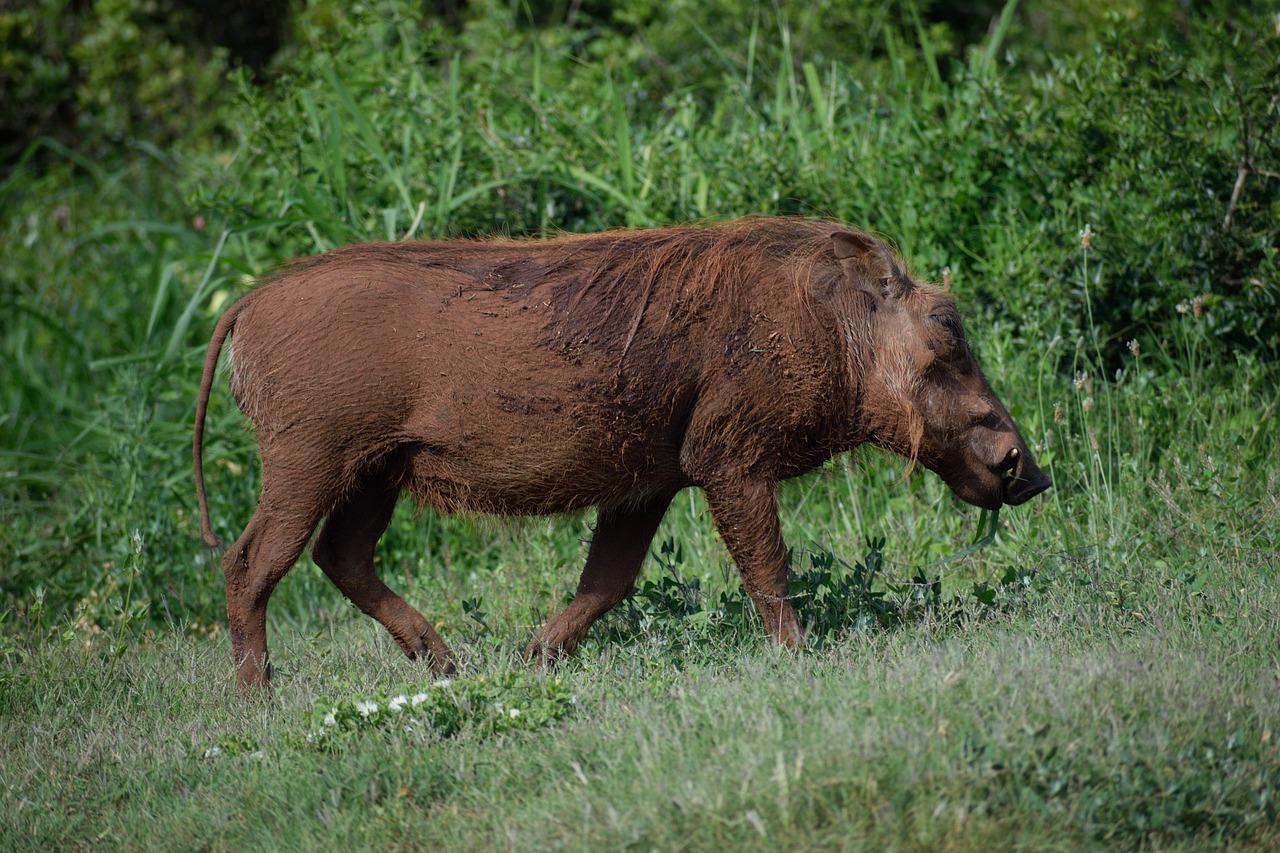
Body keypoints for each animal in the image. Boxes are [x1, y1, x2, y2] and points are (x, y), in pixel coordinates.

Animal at [193, 218, 1050, 691]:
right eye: (947, 330)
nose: (1033, 473)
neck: (833, 327)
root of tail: (249, 302)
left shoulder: (649, 483)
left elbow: (608, 581)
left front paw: (535, 659)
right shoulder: (730, 458)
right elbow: (767, 568)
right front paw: (801, 660)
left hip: (375, 470)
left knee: (340, 556)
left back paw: (448, 667)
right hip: (308, 458)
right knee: (250, 562)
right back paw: (257, 698)